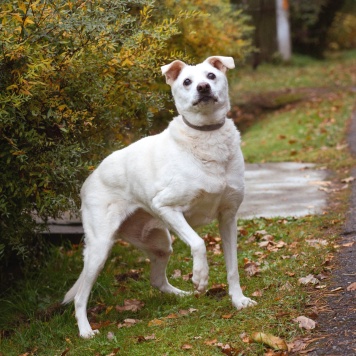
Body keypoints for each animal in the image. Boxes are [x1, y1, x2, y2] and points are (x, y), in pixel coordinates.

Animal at [62, 56, 254, 340]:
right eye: (187, 81)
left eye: (211, 75)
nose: (203, 88)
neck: (206, 135)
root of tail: (88, 180)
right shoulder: (166, 207)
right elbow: (199, 243)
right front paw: (200, 277)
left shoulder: (228, 218)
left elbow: (233, 267)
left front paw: (238, 301)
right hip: (99, 249)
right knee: (80, 296)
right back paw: (86, 331)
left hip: (160, 242)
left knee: (156, 280)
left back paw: (182, 295)